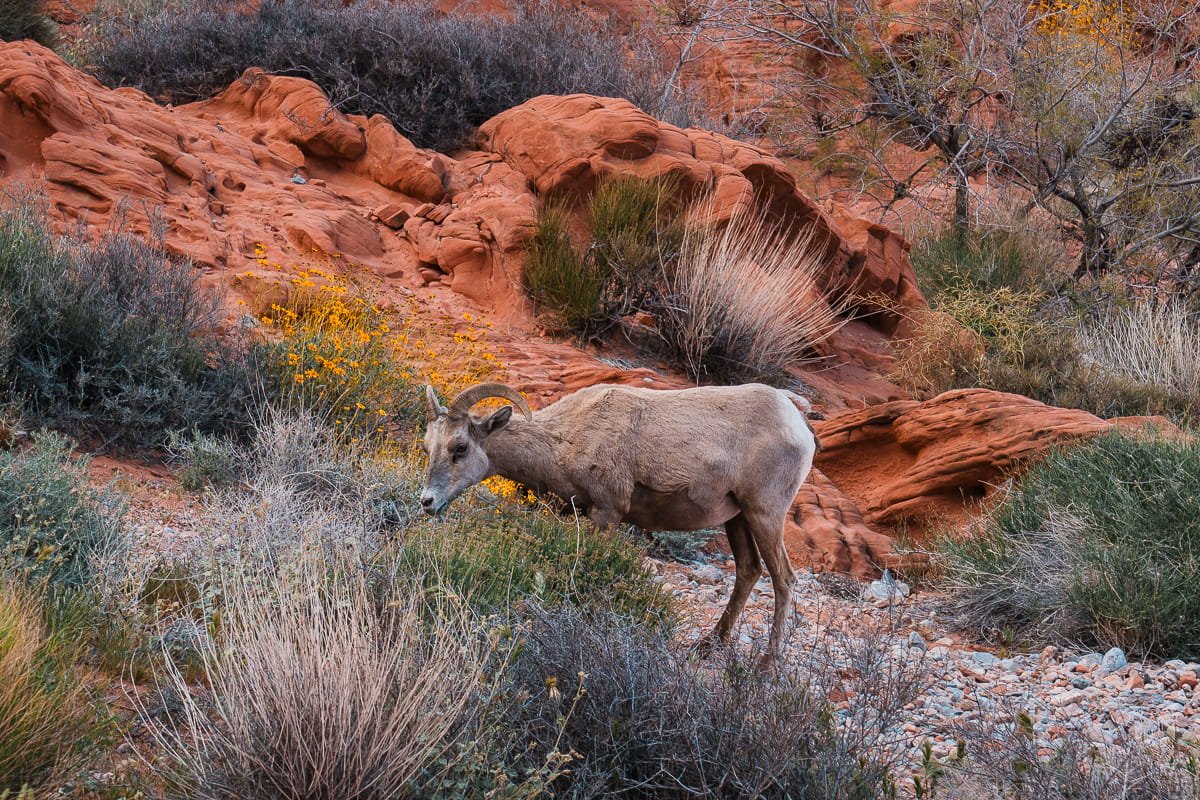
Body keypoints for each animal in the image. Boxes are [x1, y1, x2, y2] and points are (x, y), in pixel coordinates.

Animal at [419, 381, 821, 659]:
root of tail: (797, 420)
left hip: (764, 513)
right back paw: (709, 645)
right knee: (749, 571)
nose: (427, 502)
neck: (564, 440)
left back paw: (766, 665)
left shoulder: (607, 512)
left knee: (784, 579)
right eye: (428, 447)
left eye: (460, 448)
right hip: (737, 519)